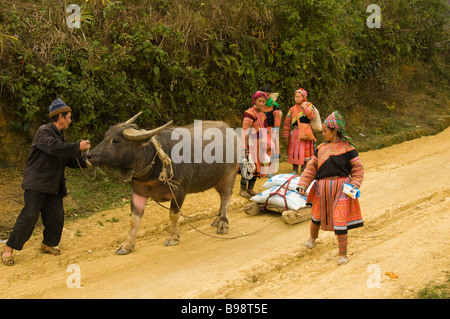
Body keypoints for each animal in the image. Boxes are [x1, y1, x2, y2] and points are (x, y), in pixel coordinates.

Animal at [84, 112, 239, 255]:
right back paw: (217, 219)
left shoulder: (179, 191)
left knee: (226, 196)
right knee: (221, 197)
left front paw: (172, 237)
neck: (153, 163)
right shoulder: (138, 193)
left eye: (116, 140)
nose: (88, 156)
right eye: (105, 137)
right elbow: (134, 220)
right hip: (216, 179)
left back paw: (223, 223)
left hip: (229, 173)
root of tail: (231, 132)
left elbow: (173, 215)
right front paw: (126, 246)